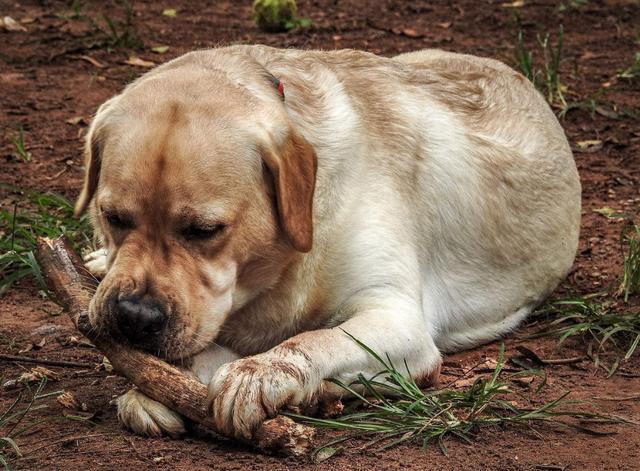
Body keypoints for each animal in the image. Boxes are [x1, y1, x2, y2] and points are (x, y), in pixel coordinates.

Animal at [77, 46, 584, 440]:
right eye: (113, 217)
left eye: (204, 230)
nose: (134, 316)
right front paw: (156, 388)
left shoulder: (397, 317)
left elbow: (314, 340)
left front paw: (258, 374)